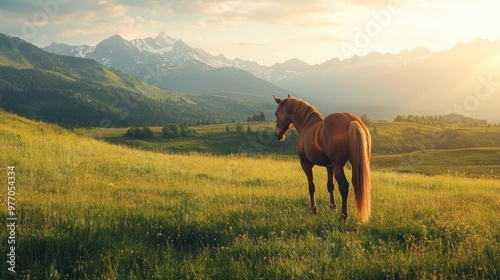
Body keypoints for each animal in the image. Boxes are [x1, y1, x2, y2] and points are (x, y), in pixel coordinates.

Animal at [274, 94, 372, 223]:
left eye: (276, 113)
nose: (277, 135)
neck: (307, 125)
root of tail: (351, 121)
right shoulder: (329, 166)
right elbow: (330, 186)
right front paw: (332, 207)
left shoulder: (306, 164)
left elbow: (311, 186)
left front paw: (313, 209)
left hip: (338, 166)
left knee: (344, 186)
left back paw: (343, 215)